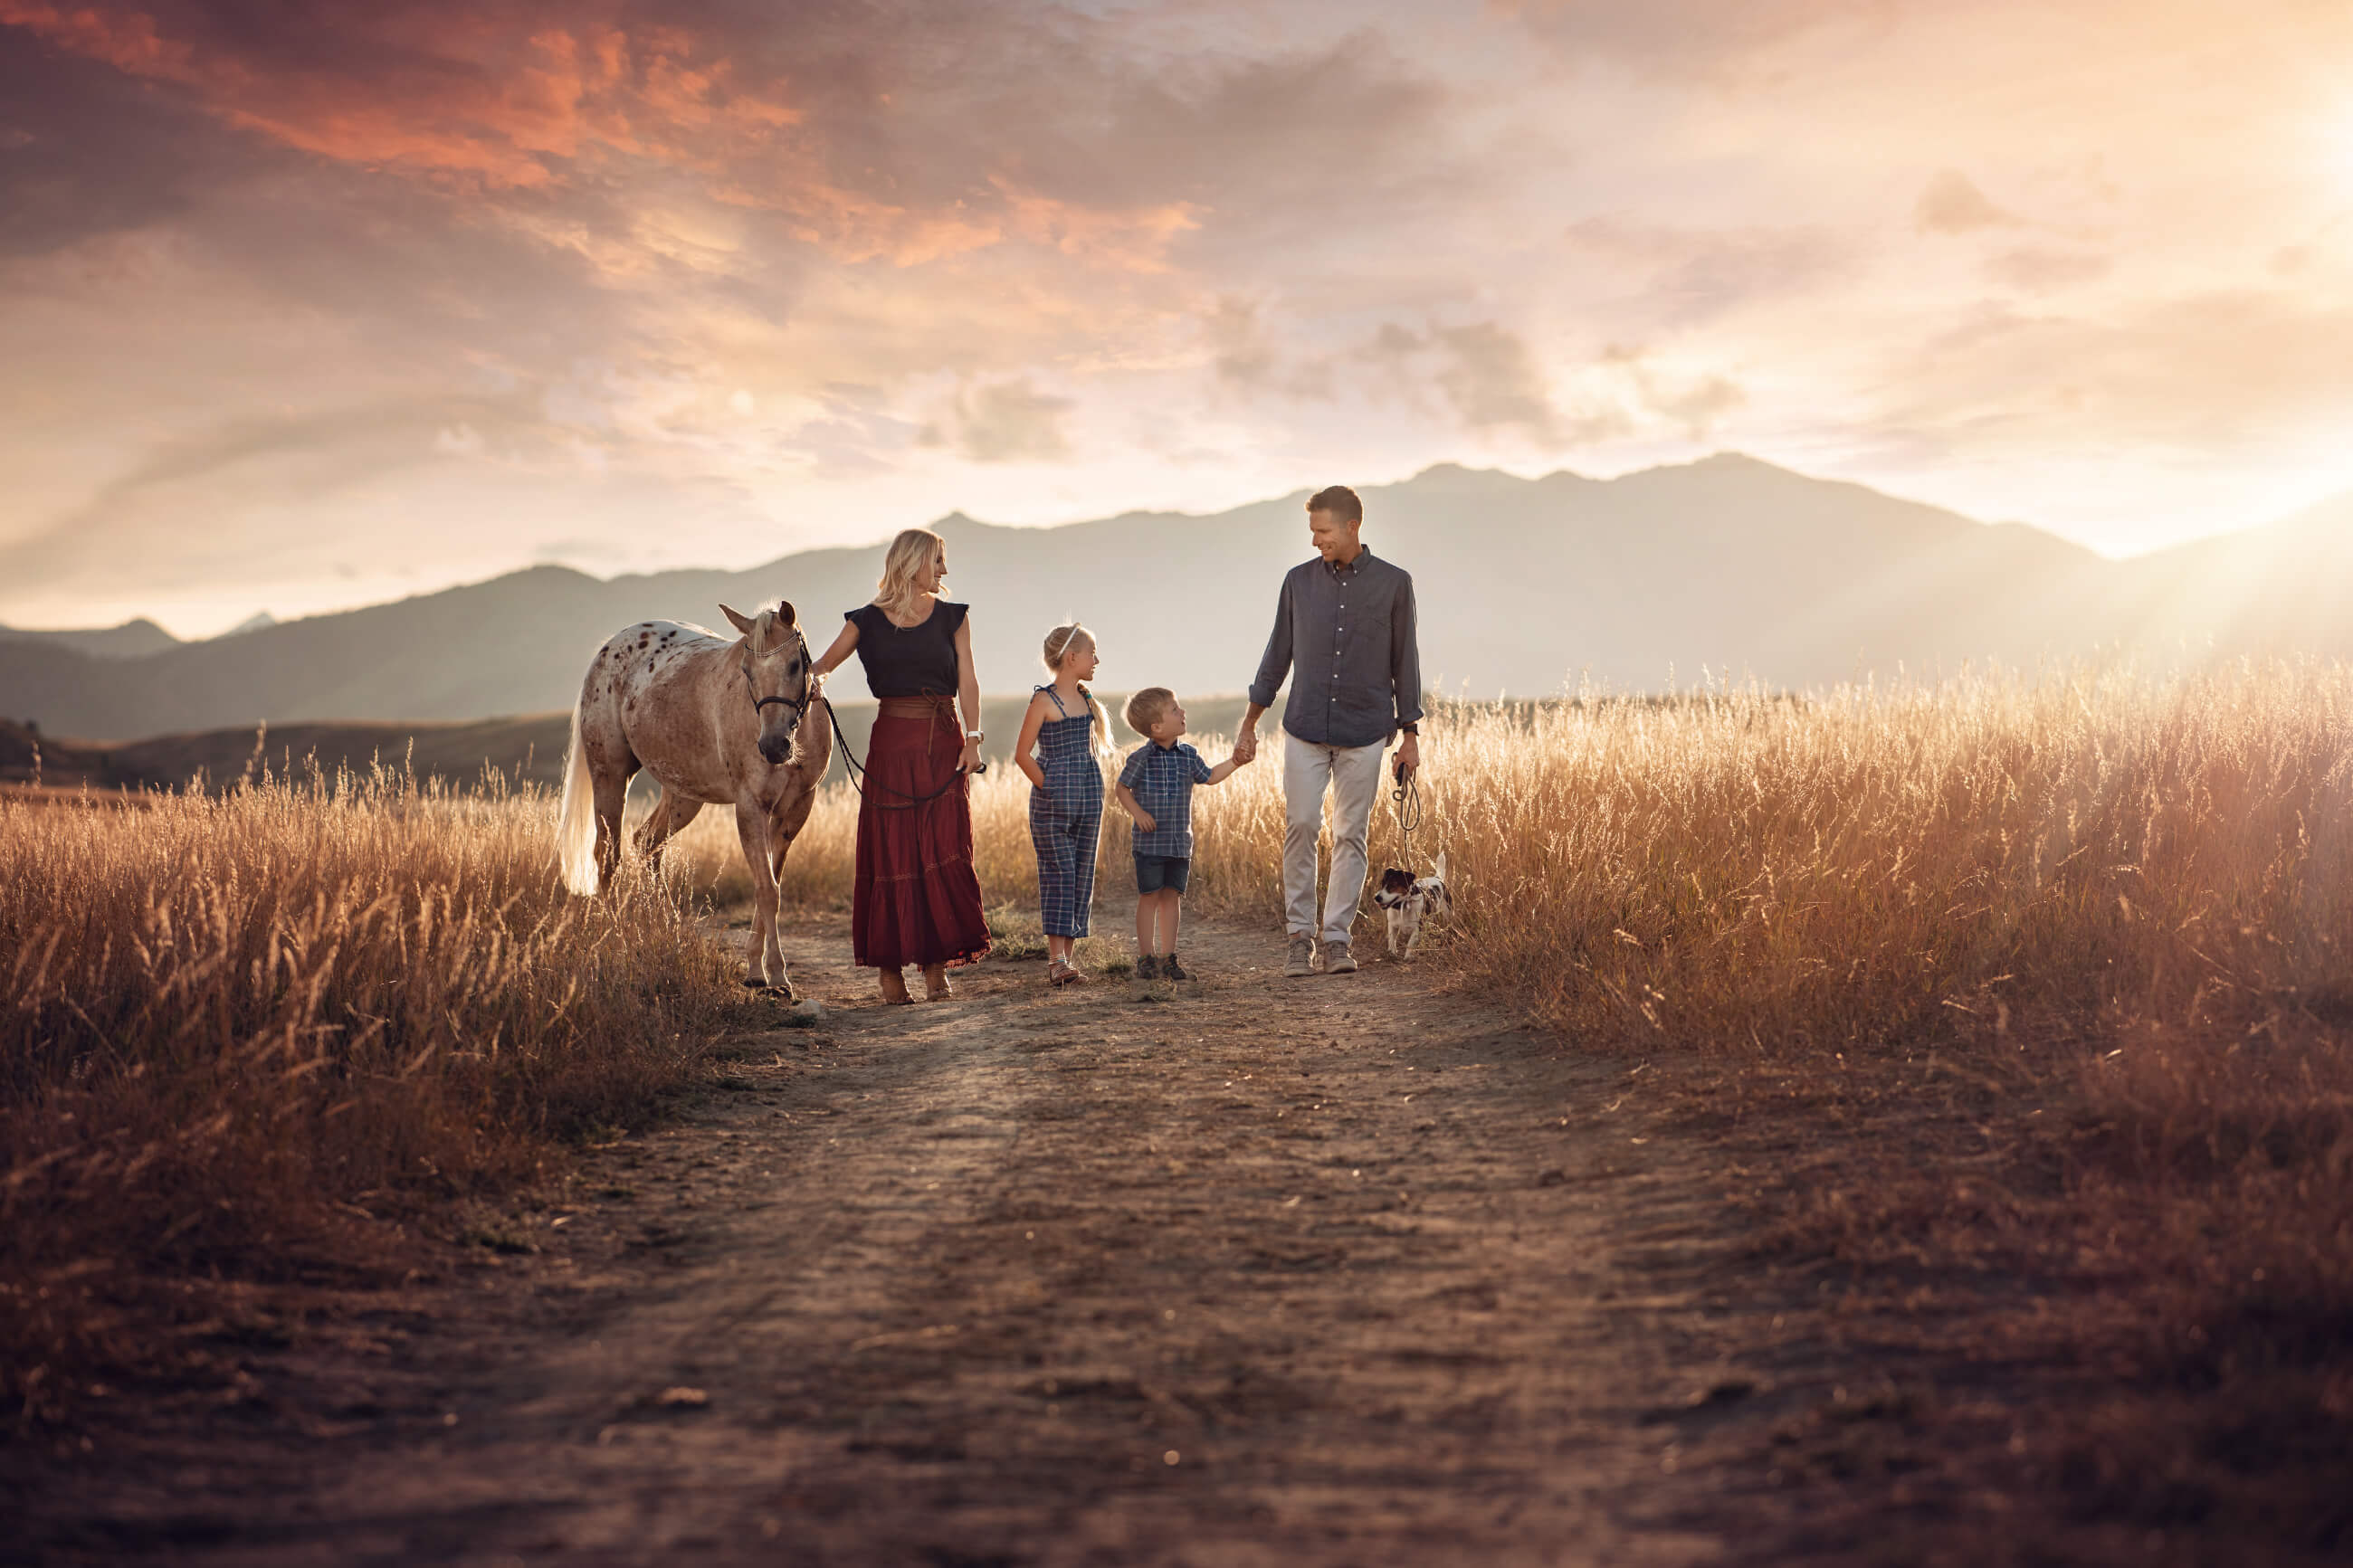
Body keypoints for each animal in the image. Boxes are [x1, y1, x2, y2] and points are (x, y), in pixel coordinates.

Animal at [557, 602, 833, 992]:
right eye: (746, 670)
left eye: (795, 664)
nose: (772, 746)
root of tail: (608, 648)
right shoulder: (750, 807)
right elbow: (766, 889)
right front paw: (774, 974)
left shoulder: (794, 812)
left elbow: (771, 887)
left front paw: (758, 969)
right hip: (610, 777)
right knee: (608, 858)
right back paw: (618, 942)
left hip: (683, 795)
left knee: (647, 843)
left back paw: (668, 931)